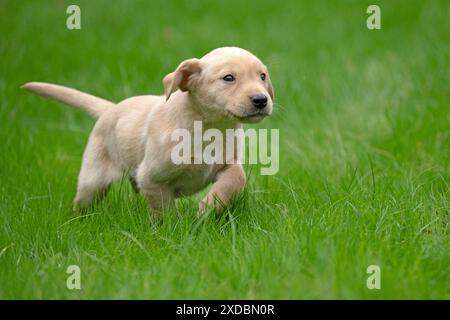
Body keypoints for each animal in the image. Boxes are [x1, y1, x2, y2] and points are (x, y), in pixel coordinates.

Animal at [22, 46, 272, 216]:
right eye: (228, 78)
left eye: (262, 76)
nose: (261, 100)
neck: (209, 127)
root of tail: (110, 109)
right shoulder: (152, 178)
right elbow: (165, 211)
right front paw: (174, 231)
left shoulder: (227, 163)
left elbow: (236, 178)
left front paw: (209, 207)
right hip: (93, 179)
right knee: (83, 200)